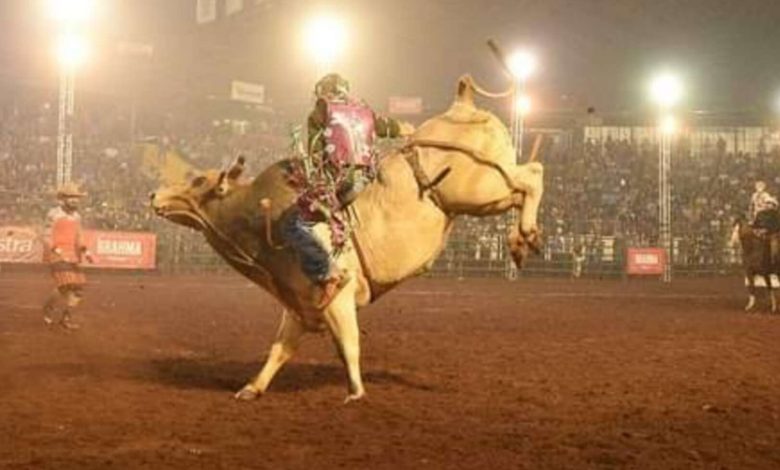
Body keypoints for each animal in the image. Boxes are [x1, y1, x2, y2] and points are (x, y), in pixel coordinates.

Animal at [149, 75, 544, 402]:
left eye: (199, 181)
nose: (154, 195)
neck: (263, 219)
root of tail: (461, 105)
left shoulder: (338, 294)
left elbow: (347, 345)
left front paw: (355, 391)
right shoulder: (301, 304)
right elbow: (279, 349)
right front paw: (252, 388)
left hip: (477, 188)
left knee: (532, 175)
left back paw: (524, 236)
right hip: (486, 196)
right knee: (523, 185)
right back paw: (521, 243)